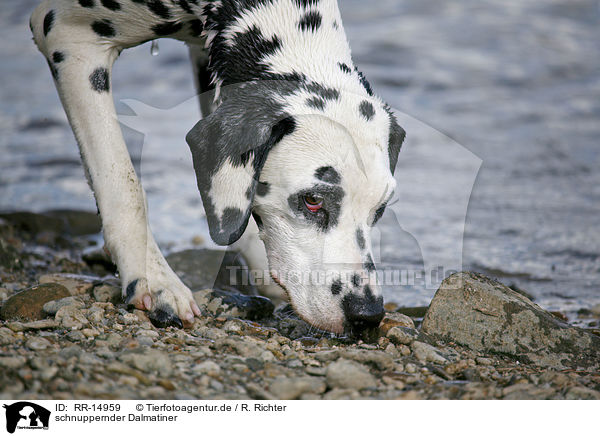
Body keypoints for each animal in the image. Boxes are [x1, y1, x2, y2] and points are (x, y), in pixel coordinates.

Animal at [30, 0, 406, 338]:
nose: (366, 315)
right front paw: (153, 278)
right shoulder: (69, 37)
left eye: (380, 209)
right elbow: (123, 183)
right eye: (312, 200)